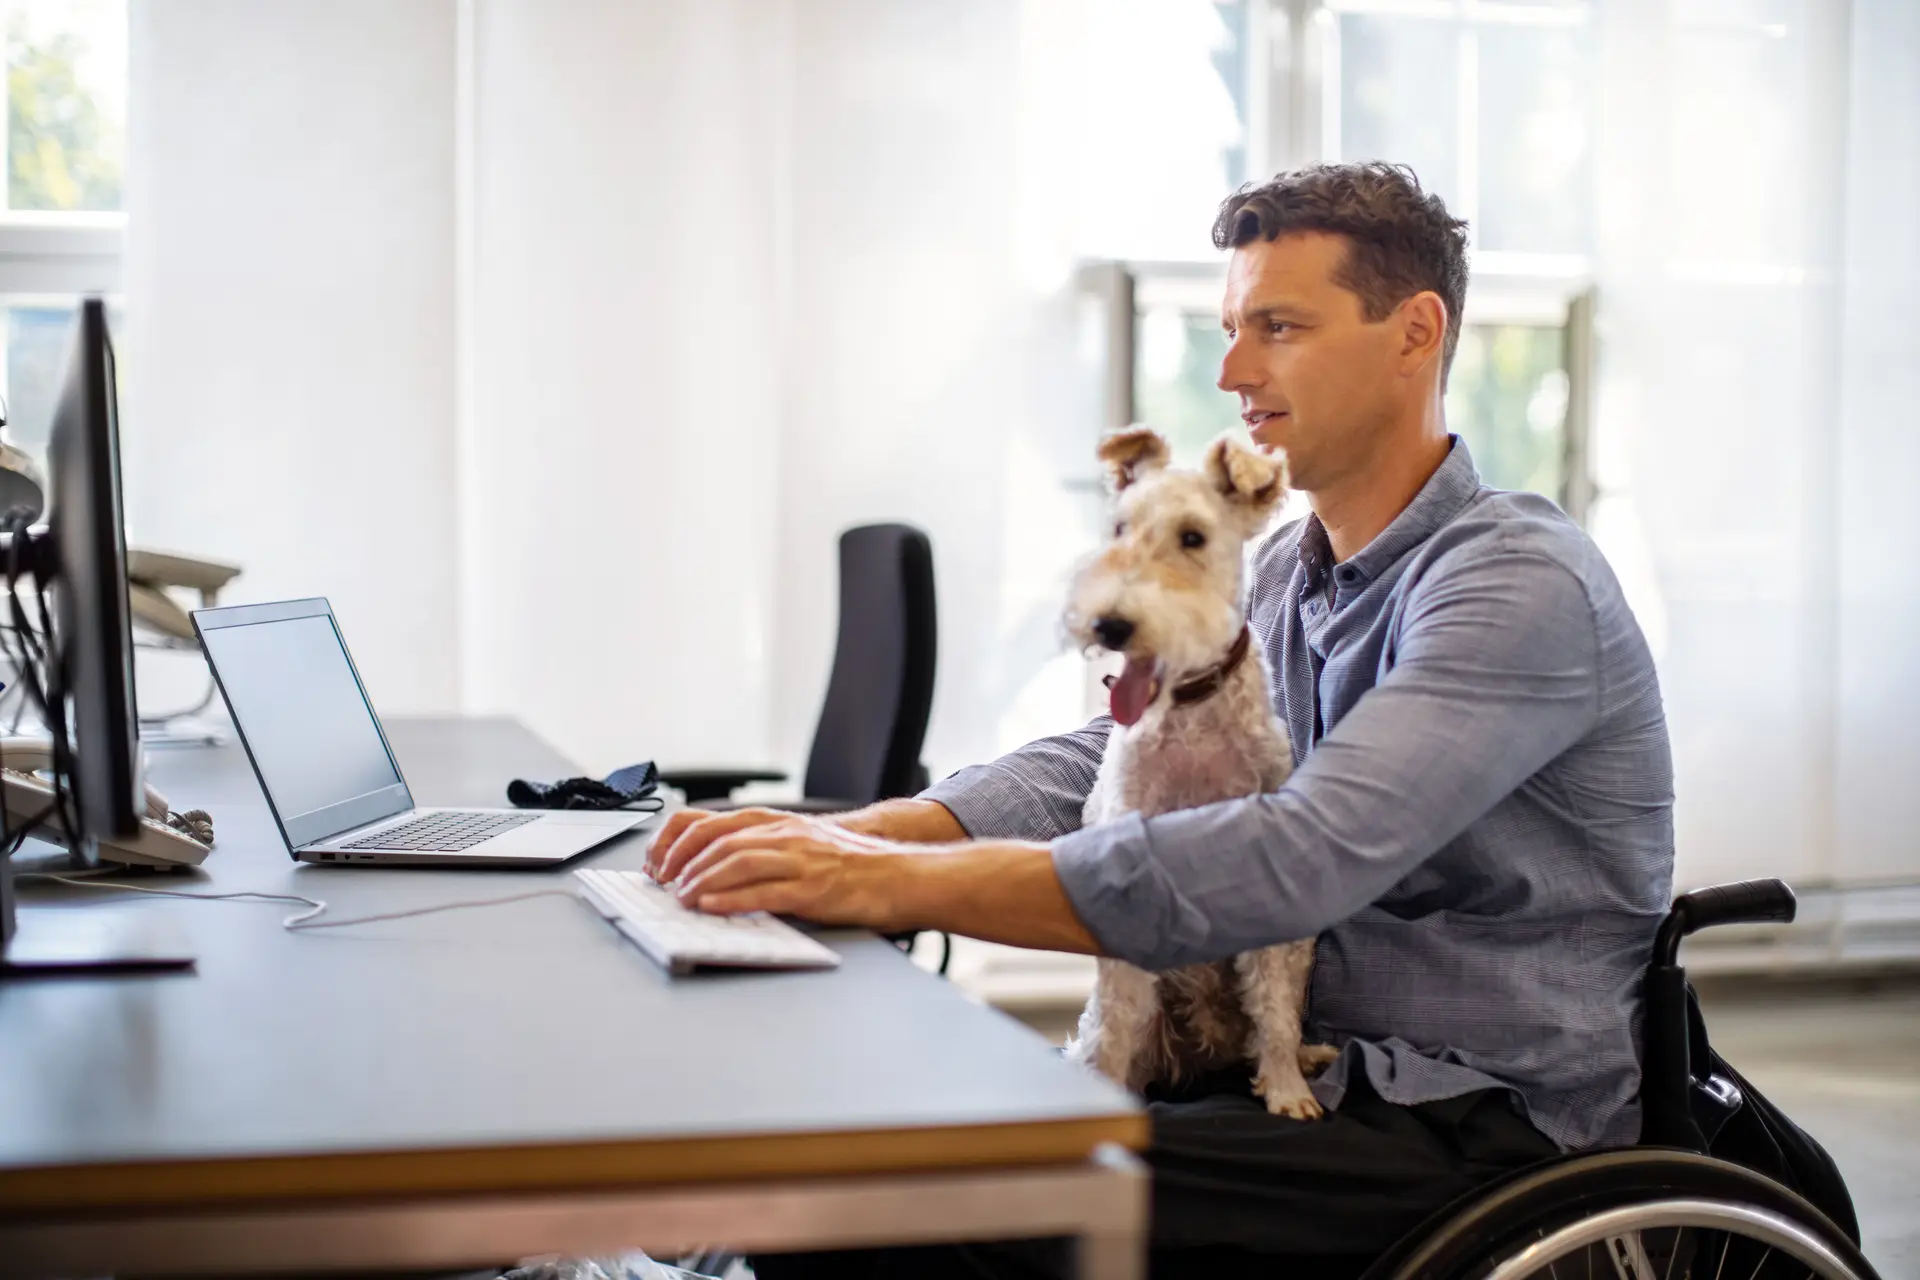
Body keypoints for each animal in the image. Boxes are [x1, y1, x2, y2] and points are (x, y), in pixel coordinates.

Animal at [1052, 426, 1336, 1113]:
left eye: (1192, 537)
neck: (1192, 707)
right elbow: (1115, 1025)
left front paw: (1287, 1089)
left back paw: (1304, 1058)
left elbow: (1274, 1009)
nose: (1111, 624)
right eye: (1119, 528)